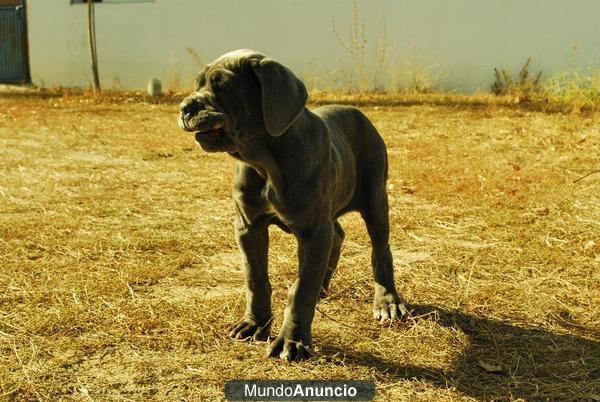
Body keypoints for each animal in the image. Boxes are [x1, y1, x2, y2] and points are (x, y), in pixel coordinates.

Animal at [178, 49, 408, 362]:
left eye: (223, 86)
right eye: (197, 84)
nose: (184, 107)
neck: (265, 162)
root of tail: (356, 110)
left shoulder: (313, 231)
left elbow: (301, 290)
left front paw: (292, 341)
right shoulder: (248, 226)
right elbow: (255, 279)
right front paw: (254, 324)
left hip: (375, 199)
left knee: (381, 251)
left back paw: (387, 302)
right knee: (338, 235)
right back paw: (324, 287)